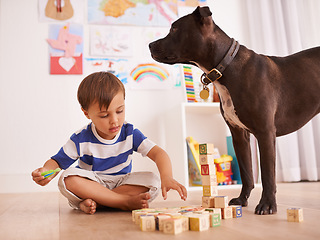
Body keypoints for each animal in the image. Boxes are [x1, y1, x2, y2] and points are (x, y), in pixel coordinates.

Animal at [149, 6, 318, 216]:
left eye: (174, 29)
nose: (149, 44)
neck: (226, 66)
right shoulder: (239, 135)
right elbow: (246, 172)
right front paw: (242, 200)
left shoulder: (265, 133)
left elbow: (267, 174)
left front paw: (267, 204)